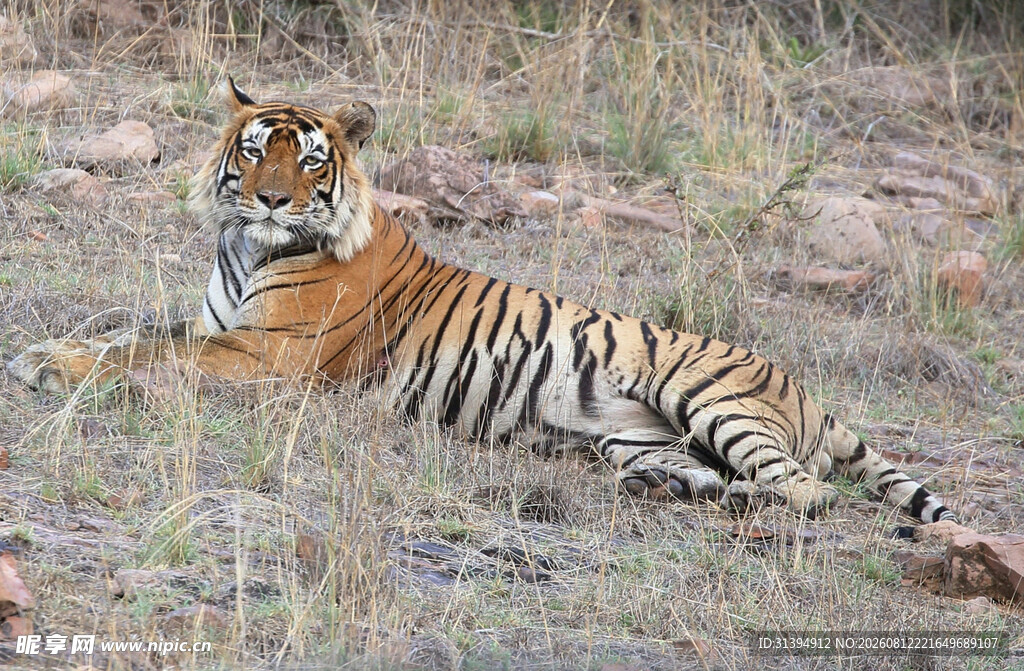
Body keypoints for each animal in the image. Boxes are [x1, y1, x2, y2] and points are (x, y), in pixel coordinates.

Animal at [7, 78, 957, 525]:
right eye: (253, 150)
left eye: (309, 159)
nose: (272, 200)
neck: (246, 246)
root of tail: (807, 389)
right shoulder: (222, 329)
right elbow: (137, 331)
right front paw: (52, 350)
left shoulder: (265, 355)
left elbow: (144, 351)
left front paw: (48, 365)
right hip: (634, 438)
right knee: (708, 472)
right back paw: (672, 492)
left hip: (709, 397)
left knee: (807, 489)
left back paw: (735, 502)